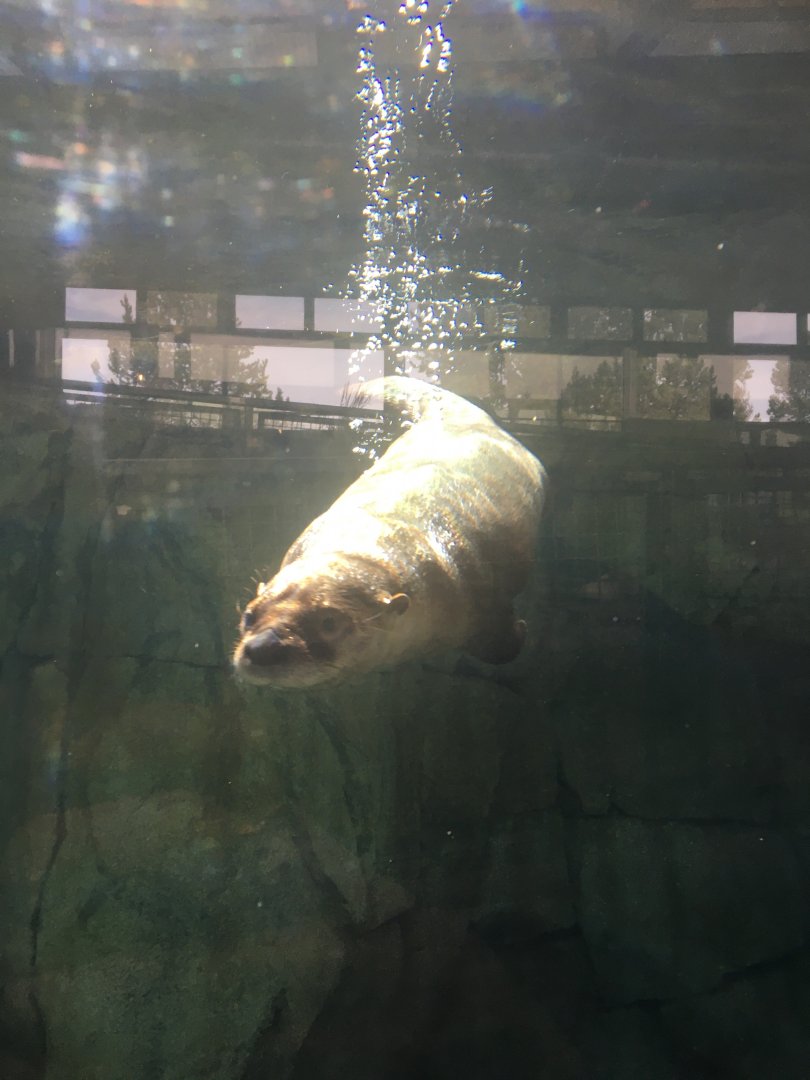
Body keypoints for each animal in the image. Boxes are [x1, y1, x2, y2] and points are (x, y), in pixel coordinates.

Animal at [233, 377, 546, 688]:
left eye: (329, 622)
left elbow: (501, 646)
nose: (263, 646)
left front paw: (519, 630)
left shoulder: (480, 597)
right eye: (248, 615)